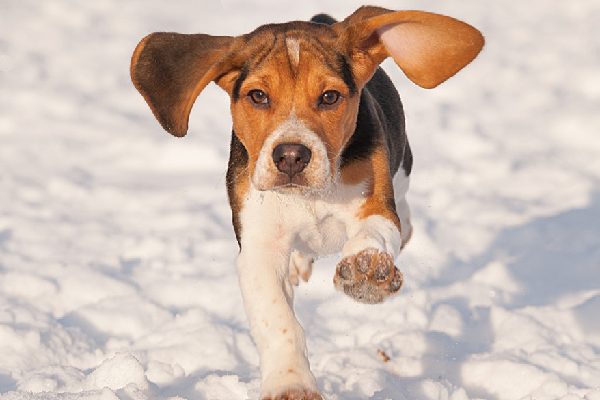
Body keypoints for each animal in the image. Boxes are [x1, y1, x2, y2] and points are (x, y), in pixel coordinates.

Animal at [131, 6, 482, 400]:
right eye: (258, 96)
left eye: (330, 97)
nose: (291, 156)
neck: (309, 196)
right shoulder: (259, 248)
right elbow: (277, 319)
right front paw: (290, 382)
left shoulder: (374, 204)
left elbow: (373, 232)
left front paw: (367, 270)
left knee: (403, 220)